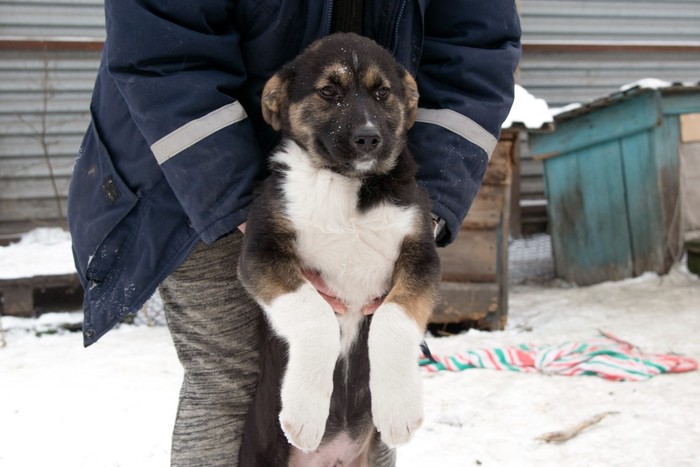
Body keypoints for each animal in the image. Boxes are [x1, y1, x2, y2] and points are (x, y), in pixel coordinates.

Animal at [238, 33, 440, 467]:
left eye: (382, 92)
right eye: (329, 92)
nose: (368, 138)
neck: (348, 187)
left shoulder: (421, 255)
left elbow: (393, 319)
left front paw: (399, 410)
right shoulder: (261, 251)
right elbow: (316, 316)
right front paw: (303, 413)